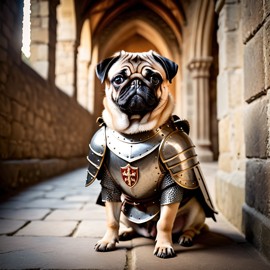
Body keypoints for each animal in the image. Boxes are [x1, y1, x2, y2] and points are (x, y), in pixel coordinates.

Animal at [85, 50, 216, 260]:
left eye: (154, 78)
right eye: (118, 79)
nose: (136, 83)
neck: (134, 132)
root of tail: (148, 231)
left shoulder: (173, 179)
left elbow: (165, 221)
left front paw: (163, 246)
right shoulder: (109, 184)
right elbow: (111, 220)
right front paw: (108, 240)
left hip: (195, 210)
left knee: (196, 227)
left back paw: (186, 237)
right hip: (126, 212)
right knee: (127, 223)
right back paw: (125, 232)